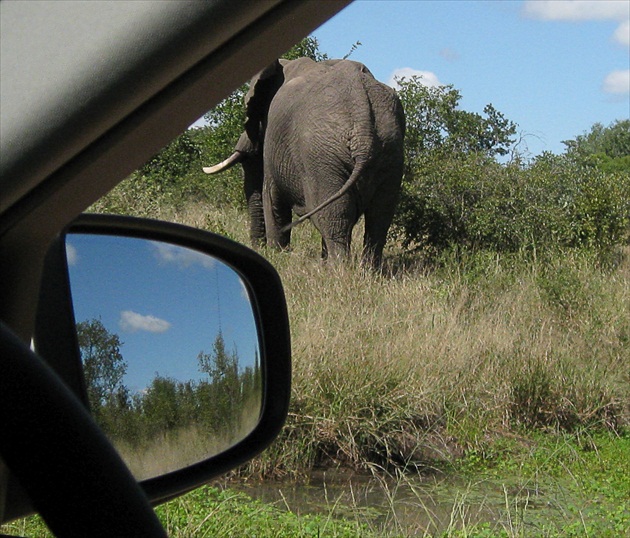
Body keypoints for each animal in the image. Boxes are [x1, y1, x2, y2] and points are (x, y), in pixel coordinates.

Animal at [205, 56, 408, 268]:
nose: (257, 248)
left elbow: (272, 198)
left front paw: (277, 257)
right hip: (389, 150)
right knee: (379, 215)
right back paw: (366, 271)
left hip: (321, 156)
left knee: (335, 214)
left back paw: (337, 270)